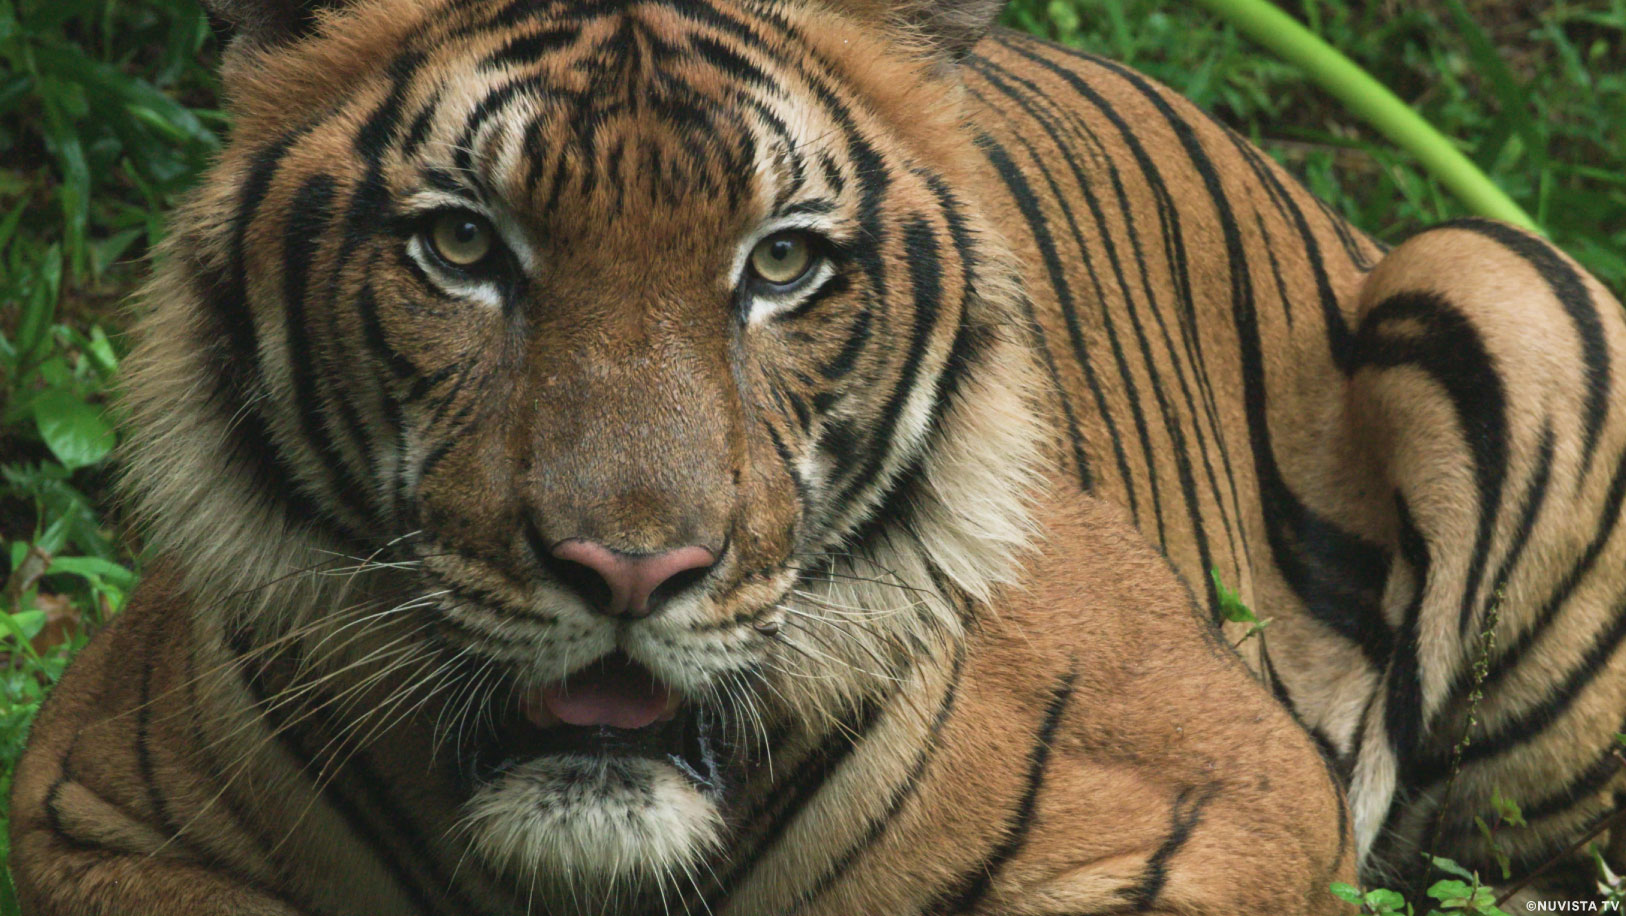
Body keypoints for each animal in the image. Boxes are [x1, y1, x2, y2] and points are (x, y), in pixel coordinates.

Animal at [8, 0, 1624, 912]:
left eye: (780, 265)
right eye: (462, 247)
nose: (629, 570)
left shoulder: (1225, 792)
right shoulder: (89, 812)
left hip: (1491, 278)